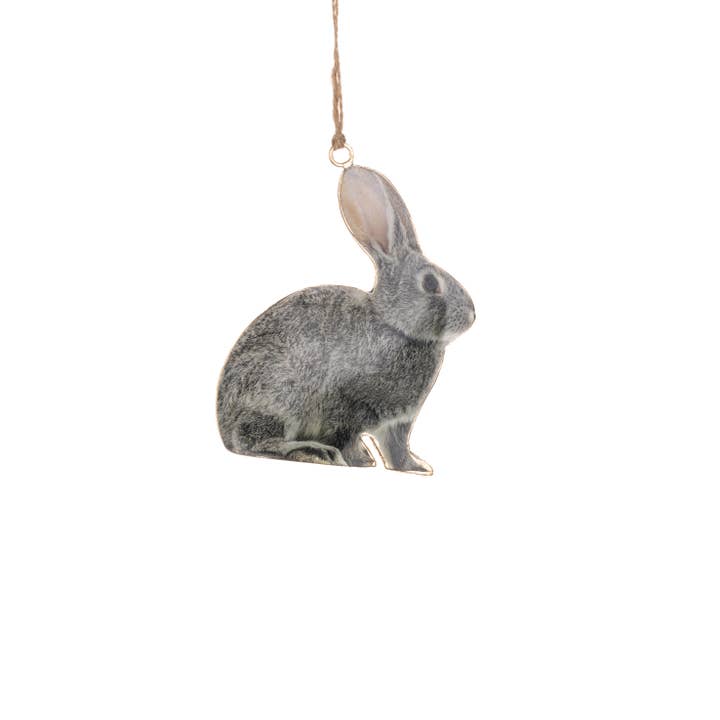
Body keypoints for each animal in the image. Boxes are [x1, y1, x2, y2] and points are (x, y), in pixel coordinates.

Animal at [216, 165, 475, 474]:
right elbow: (346, 437)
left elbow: (397, 449)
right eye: (431, 284)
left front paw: (415, 467)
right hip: (281, 395)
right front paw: (360, 461)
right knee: (254, 440)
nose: (472, 315)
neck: (394, 325)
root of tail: (222, 428)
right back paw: (314, 451)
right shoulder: (345, 406)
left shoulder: (398, 423)